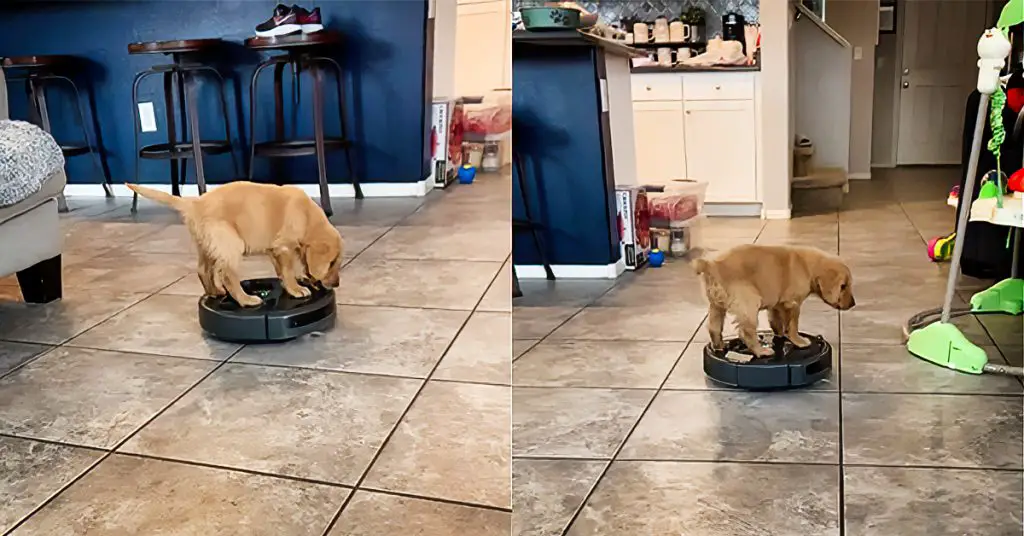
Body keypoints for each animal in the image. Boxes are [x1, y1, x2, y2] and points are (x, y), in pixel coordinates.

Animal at [123, 182, 344, 305]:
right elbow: (288, 271)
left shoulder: (275, 249)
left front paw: (303, 280)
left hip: (208, 245)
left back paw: (215, 292)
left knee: (203, 269)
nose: (337, 284)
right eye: (333, 263)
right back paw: (246, 300)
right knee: (227, 275)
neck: (307, 216)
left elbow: (283, 271)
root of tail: (195, 203)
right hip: (229, 242)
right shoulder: (284, 246)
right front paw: (297, 289)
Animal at [696, 246, 856, 356]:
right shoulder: (792, 303)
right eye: (843, 286)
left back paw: (718, 346)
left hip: (716, 305)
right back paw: (761, 351)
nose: (853, 304)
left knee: (714, 328)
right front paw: (799, 341)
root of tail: (711, 265)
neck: (807, 267)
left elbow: (776, 319)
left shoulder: (777, 303)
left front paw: (779, 333)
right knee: (746, 331)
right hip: (749, 302)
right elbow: (793, 326)